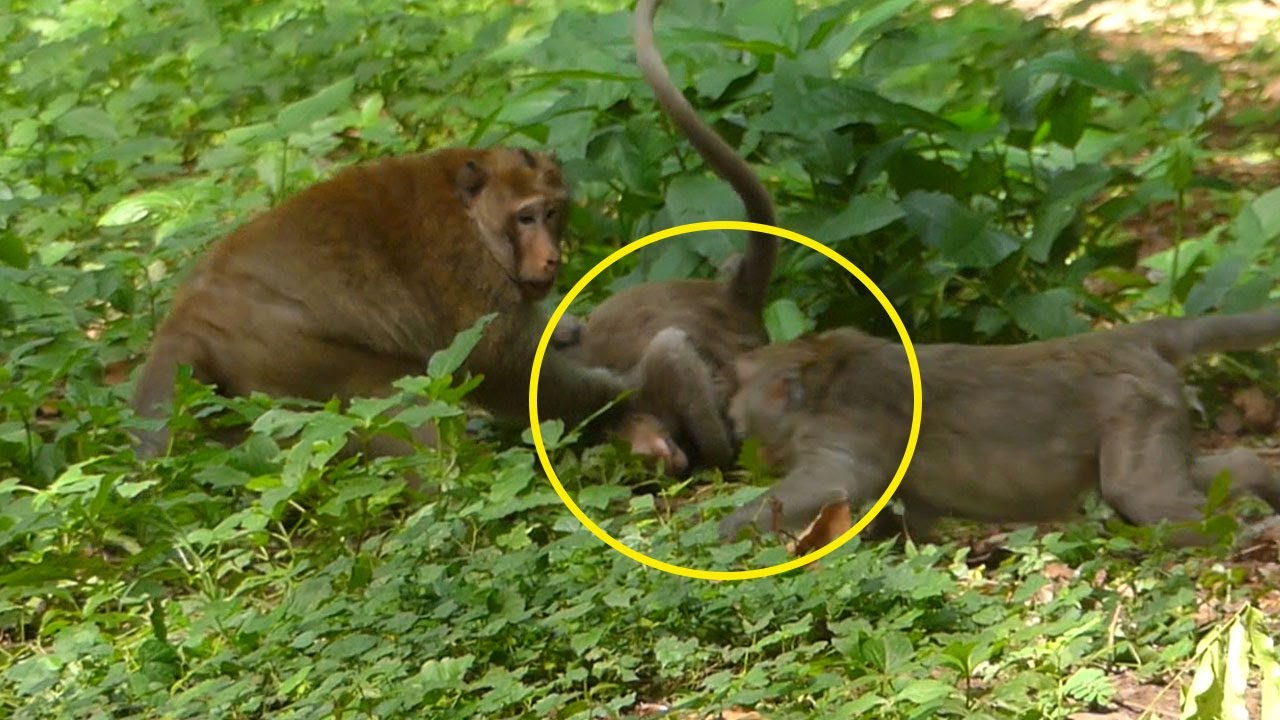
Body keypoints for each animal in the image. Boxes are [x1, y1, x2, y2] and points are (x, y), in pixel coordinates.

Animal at [131, 146, 683, 468]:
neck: (472, 216)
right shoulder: (468, 272)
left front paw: (566, 328)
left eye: (551, 212)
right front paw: (621, 399)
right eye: (525, 218)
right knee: (392, 401)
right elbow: (505, 368)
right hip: (289, 352)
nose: (551, 256)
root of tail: (189, 313)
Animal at [719, 309, 1280, 547]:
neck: (821, 375)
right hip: (1154, 410)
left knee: (1138, 491)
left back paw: (1230, 538)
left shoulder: (846, 428)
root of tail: (1128, 339)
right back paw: (1259, 484)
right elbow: (910, 514)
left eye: (742, 389)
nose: (729, 413)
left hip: (1136, 406)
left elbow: (837, 483)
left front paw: (722, 534)